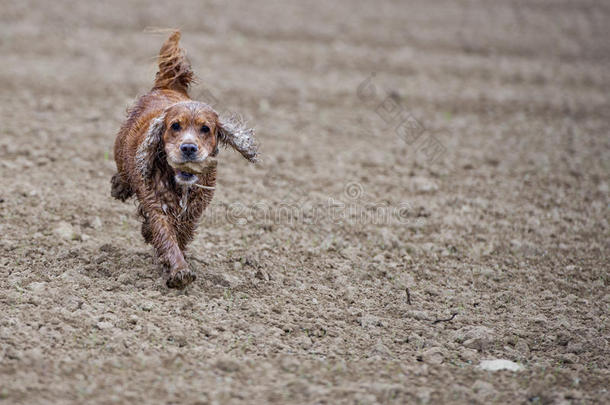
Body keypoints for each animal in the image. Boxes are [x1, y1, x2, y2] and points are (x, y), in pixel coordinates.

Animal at [111, 31, 256, 288]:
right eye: (175, 126)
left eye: (205, 129)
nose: (188, 148)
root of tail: (165, 86)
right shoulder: (155, 203)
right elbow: (165, 234)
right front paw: (179, 271)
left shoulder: (195, 208)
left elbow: (182, 232)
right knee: (124, 175)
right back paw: (119, 187)